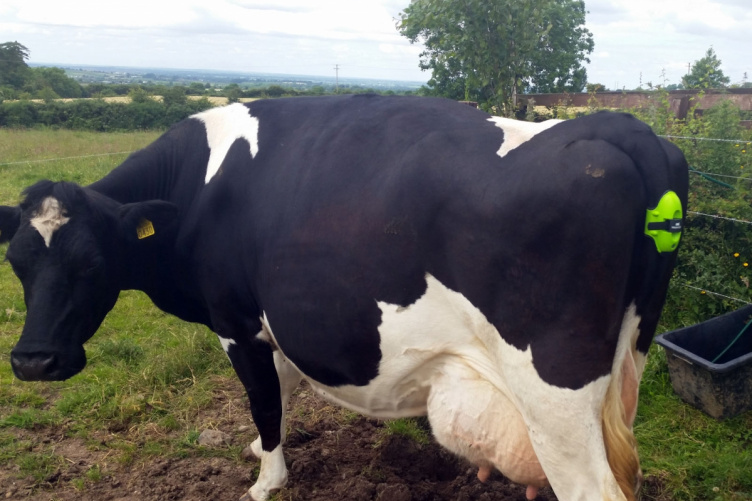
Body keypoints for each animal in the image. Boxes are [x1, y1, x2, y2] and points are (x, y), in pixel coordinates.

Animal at [0, 94, 688, 500]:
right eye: (15, 261)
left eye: (92, 263)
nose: (33, 361)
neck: (199, 185)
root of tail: (621, 129)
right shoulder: (272, 321)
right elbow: (282, 389)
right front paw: (263, 454)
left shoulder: (236, 321)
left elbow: (264, 399)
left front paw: (266, 481)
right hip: (624, 370)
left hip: (554, 391)